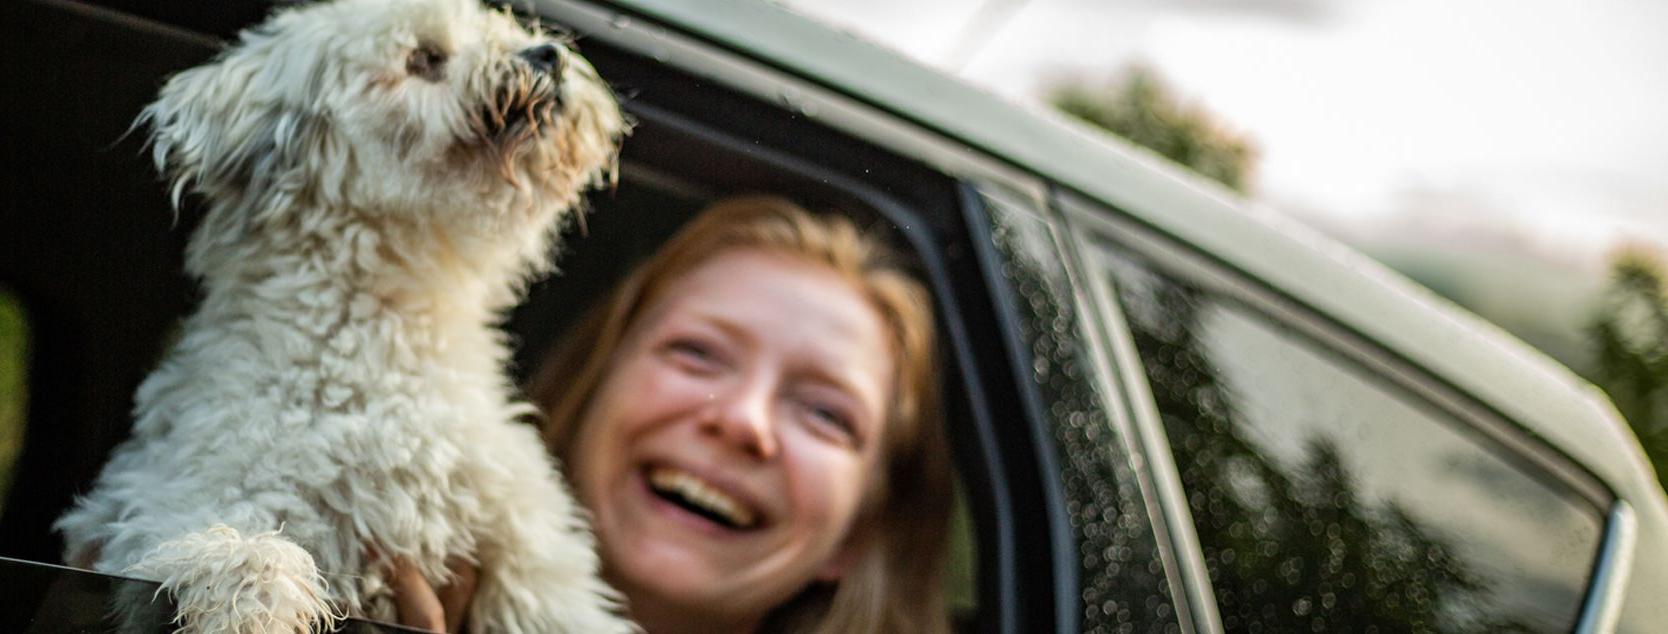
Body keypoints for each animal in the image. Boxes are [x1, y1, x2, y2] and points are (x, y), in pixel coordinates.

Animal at [52, 0, 633, 630]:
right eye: (424, 58)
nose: (546, 55)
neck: (381, 336)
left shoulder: (527, 544)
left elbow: (558, 601)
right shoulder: (164, 502)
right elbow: (233, 547)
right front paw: (250, 598)